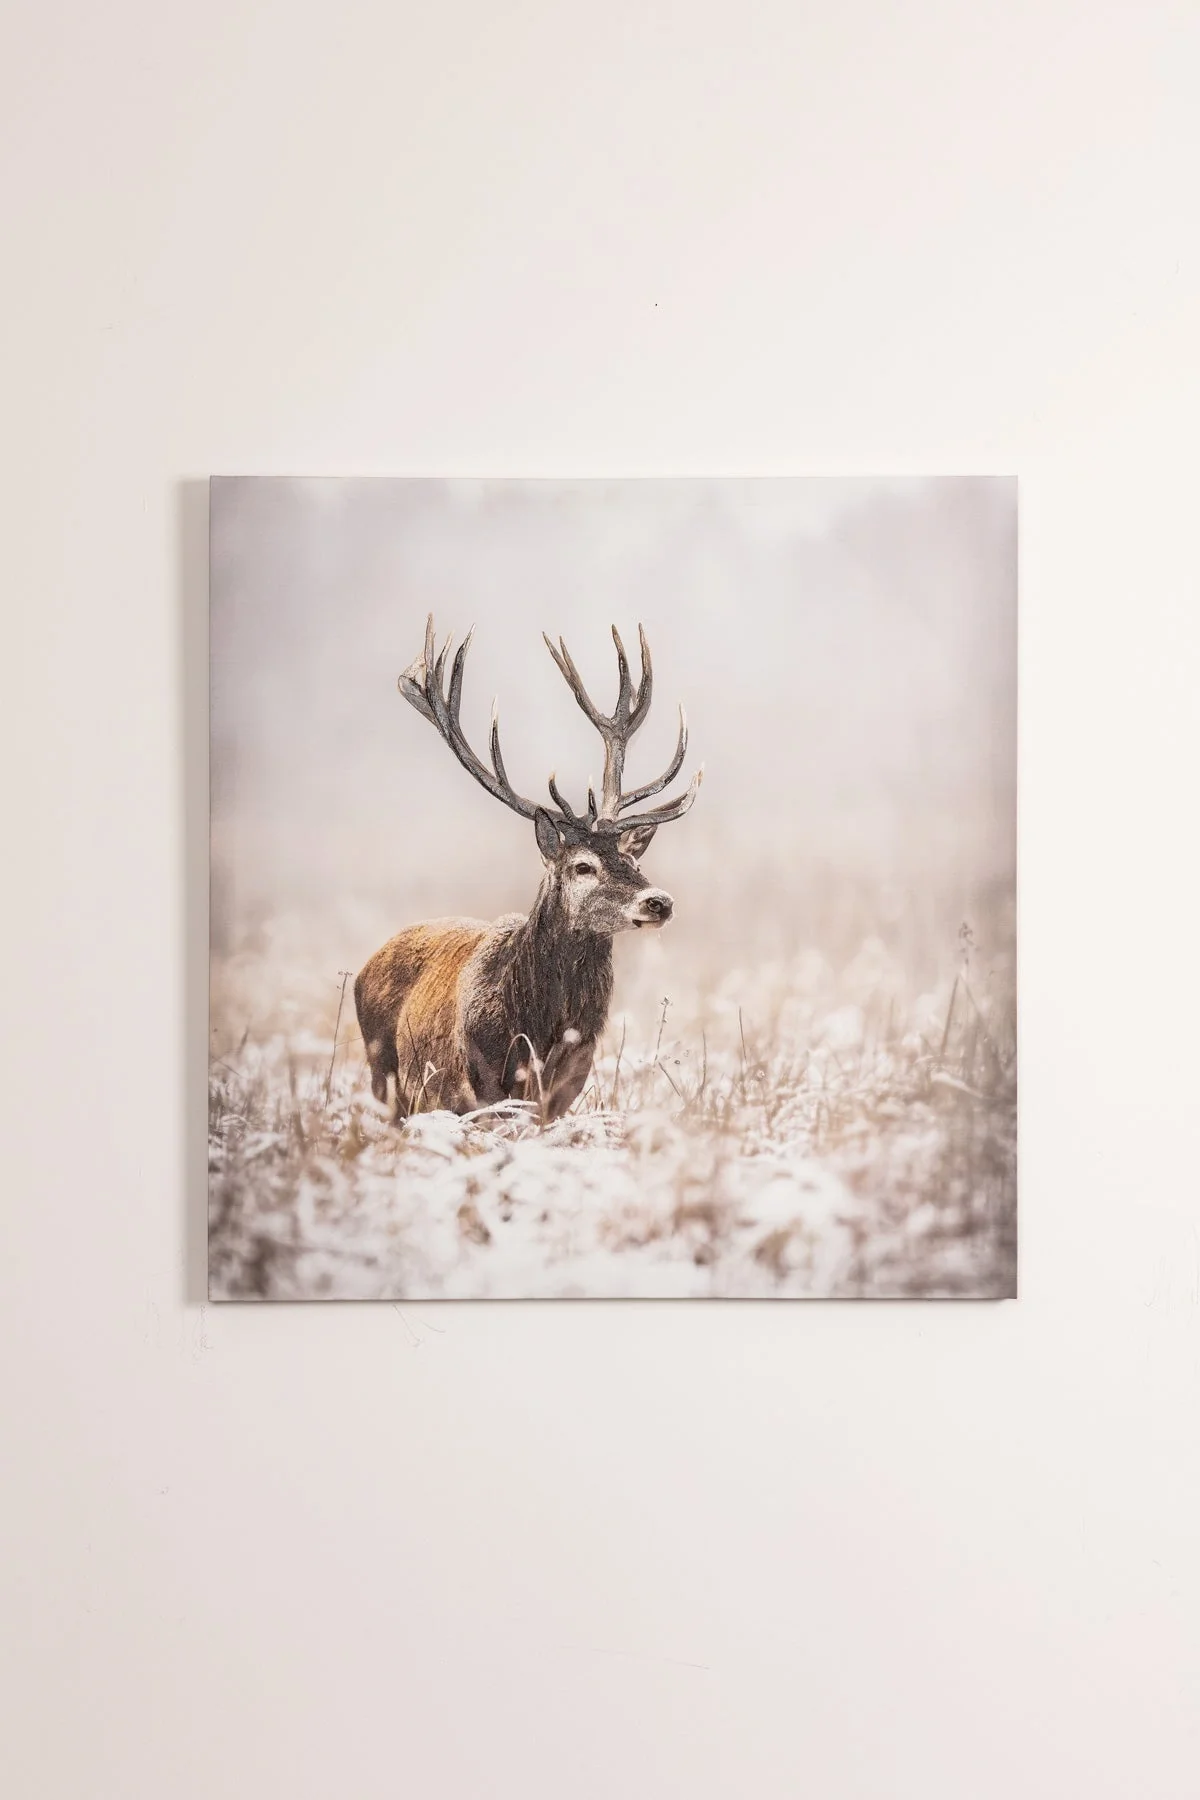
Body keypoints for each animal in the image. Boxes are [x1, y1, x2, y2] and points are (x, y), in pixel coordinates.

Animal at [354, 615, 702, 1123]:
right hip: (385, 1077)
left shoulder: (563, 1092)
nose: (659, 901)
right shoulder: (478, 1093)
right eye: (582, 866)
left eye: (633, 859)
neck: (538, 1033)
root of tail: (366, 966)